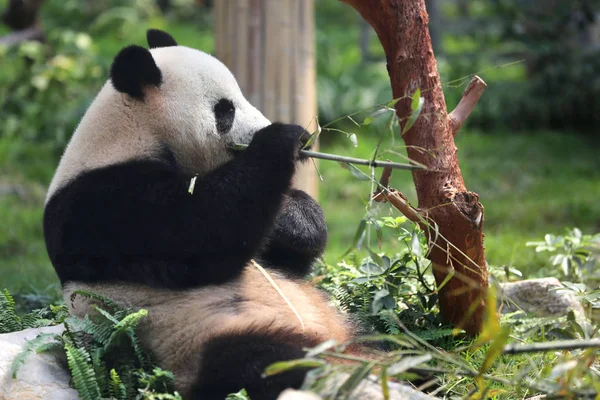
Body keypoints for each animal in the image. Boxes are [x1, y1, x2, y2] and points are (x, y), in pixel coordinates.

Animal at [44, 28, 354, 400]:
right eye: (225, 110)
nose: (307, 141)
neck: (131, 133)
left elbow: (284, 255)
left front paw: (296, 217)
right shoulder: (99, 204)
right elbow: (200, 235)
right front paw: (282, 138)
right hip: (197, 339)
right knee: (262, 361)